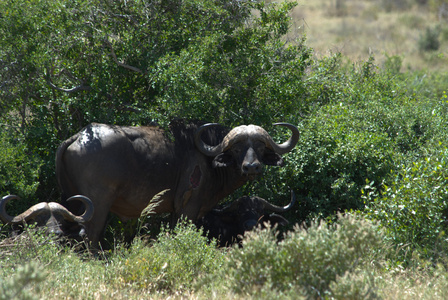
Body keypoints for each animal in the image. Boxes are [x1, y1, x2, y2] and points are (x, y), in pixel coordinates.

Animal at [57, 119, 300, 246]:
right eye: (238, 148)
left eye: (259, 146)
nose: (252, 167)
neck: (207, 158)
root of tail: (81, 136)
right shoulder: (188, 209)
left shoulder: (175, 212)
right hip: (97, 206)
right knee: (90, 236)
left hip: (75, 204)